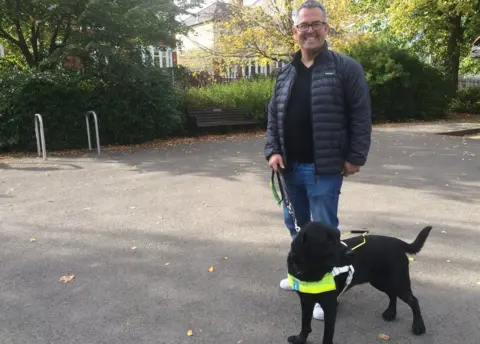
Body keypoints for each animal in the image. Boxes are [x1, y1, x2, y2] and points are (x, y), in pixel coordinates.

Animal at [286, 220, 434, 344]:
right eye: (327, 241)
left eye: (338, 237)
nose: (352, 254)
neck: (310, 272)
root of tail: (396, 242)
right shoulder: (305, 301)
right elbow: (305, 324)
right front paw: (300, 339)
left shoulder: (330, 306)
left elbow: (327, 335)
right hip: (380, 282)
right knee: (392, 294)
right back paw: (391, 313)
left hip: (398, 282)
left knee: (413, 301)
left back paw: (418, 326)